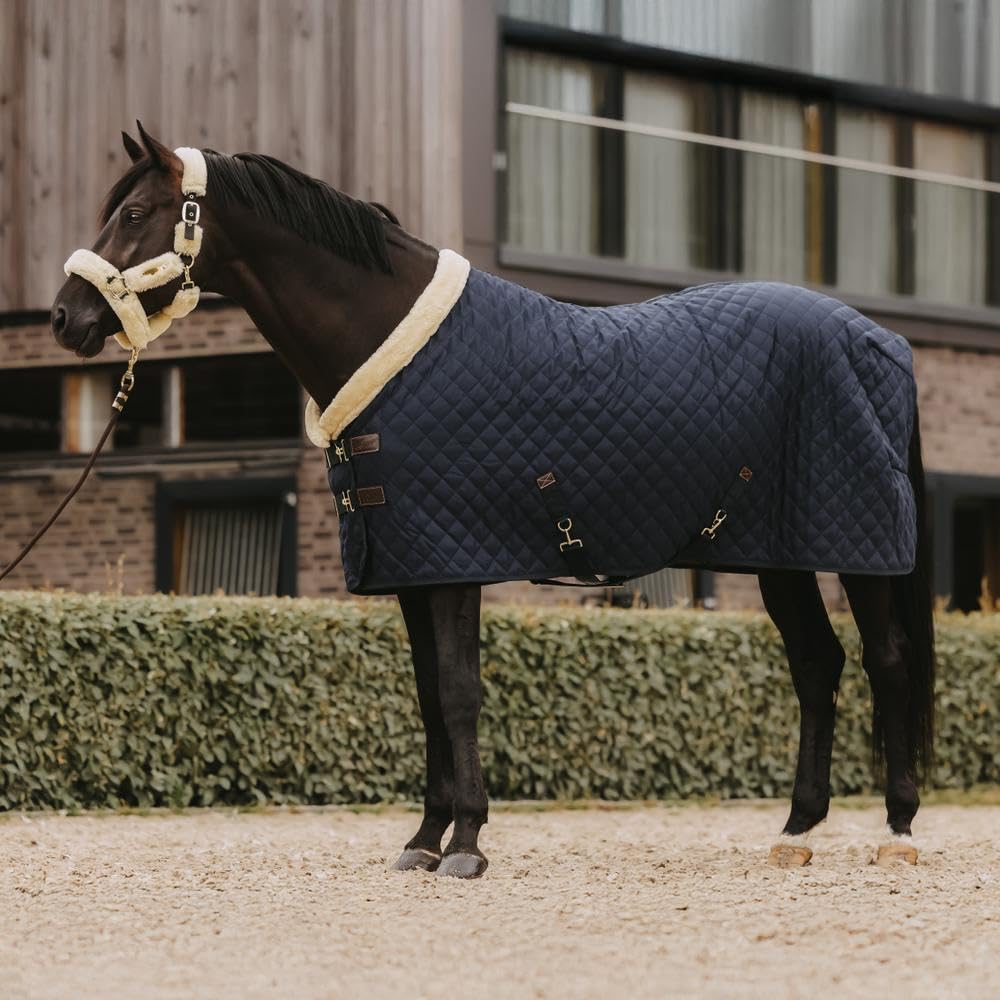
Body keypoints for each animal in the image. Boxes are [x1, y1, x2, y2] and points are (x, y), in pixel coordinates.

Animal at [50, 124, 934, 877]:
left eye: (135, 213)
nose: (66, 317)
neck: (392, 344)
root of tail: (880, 339)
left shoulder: (455, 564)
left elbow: (459, 693)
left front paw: (468, 843)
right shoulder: (410, 567)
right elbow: (427, 700)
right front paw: (423, 839)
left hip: (859, 548)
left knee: (886, 661)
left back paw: (896, 831)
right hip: (782, 552)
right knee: (817, 665)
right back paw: (797, 830)